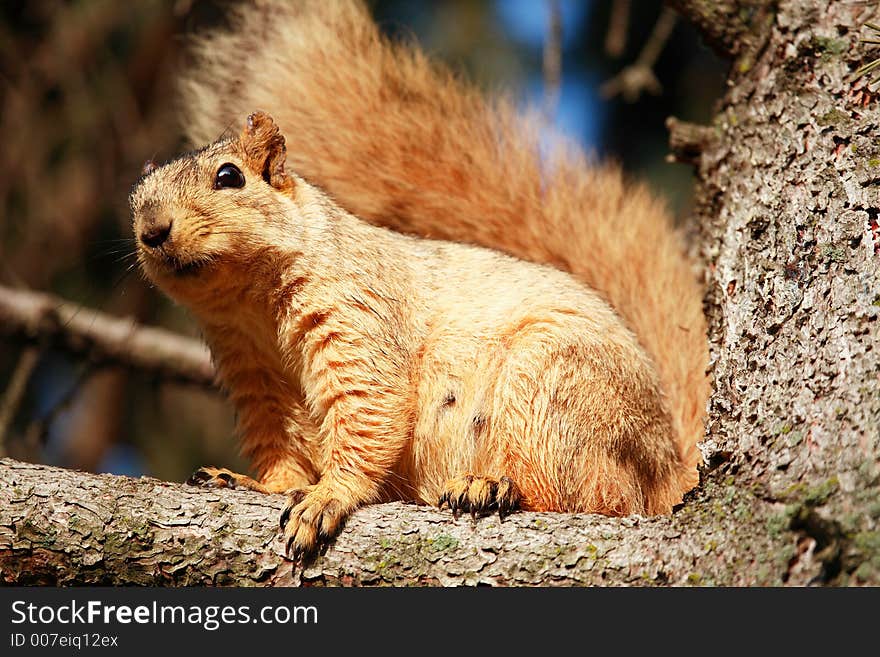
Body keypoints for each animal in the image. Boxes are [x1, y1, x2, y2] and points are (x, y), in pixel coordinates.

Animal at [129, 0, 708, 556]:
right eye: (135, 202)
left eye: (230, 177)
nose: (153, 231)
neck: (253, 306)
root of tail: (669, 471)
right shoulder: (254, 374)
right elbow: (282, 446)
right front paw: (255, 484)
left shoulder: (359, 313)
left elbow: (370, 409)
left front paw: (327, 495)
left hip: (554, 385)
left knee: (591, 495)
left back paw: (492, 486)